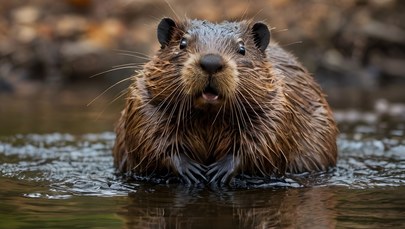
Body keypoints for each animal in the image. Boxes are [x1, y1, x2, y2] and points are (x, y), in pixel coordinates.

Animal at [112, 17, 336, 185]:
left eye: (242, 48)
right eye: (182, 43)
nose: (211, 62)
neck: (208, 118)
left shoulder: (277, 105)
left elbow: (266, 142)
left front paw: (218, 171)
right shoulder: (142, 101)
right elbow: (148, 139)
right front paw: (192, 170)